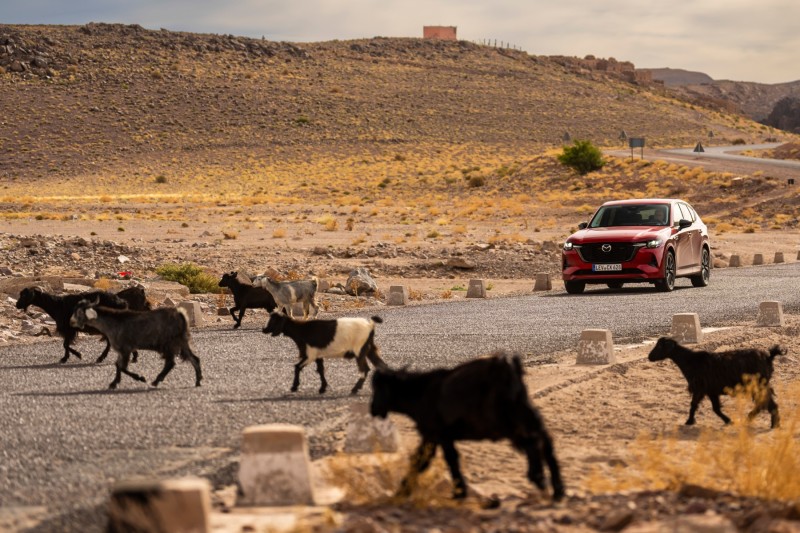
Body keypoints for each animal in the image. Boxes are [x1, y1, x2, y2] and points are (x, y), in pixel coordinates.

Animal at [70, 298, 202, 388]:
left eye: (79, 312)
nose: (71, 322)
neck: (111, 323)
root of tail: (180, 314)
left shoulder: (125, 349)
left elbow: (122, 367)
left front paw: (140, 378)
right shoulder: (121, 351)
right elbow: (118, 365)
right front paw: (114, 383)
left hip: (170, 344)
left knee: (171, 363)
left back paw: (156, 381)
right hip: (182, 342)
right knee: (194, 359)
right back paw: (198, 381)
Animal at [372, 352, 564, 500]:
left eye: (378, 389)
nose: (373, 408)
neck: (419, 392)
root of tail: (509, 370)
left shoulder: (438, 434)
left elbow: (444, 460)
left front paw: (459, 493)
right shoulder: (434, 436)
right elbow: (423, 460)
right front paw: (402, 491)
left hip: (504, 420)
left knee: (533, 442)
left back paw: (538, 478)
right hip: (525, 414)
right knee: (546, 443)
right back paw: (557, 490)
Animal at [648, 336, 784, 428]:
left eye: (660, 346)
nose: (649, 357)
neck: (691, 361)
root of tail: (769, 357)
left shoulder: (700, 389)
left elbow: (695, 405)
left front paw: (689, 421)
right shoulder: (711, 391)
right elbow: (713, 408)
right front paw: (727, 420)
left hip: (759, 385)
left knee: (766, 403)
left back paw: (768, 423)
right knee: (765, 403)